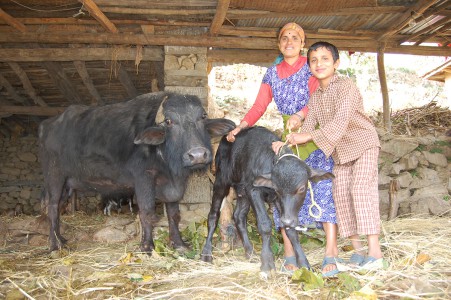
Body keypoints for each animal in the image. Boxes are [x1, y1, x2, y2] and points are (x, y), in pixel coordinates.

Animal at [38, 91, 237, 253]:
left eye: (202, 117)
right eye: (169, 122)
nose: (197, 155)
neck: (164, 158)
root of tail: (47, 125)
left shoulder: (172, 185)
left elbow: (174, 215)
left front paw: (179, 244)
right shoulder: (144, 178)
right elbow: (147, 212)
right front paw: (147, 246)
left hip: (68, 184)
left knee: (57, 207)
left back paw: (60, 238)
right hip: (54, 175)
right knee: (52, 207)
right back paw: (55, 246)